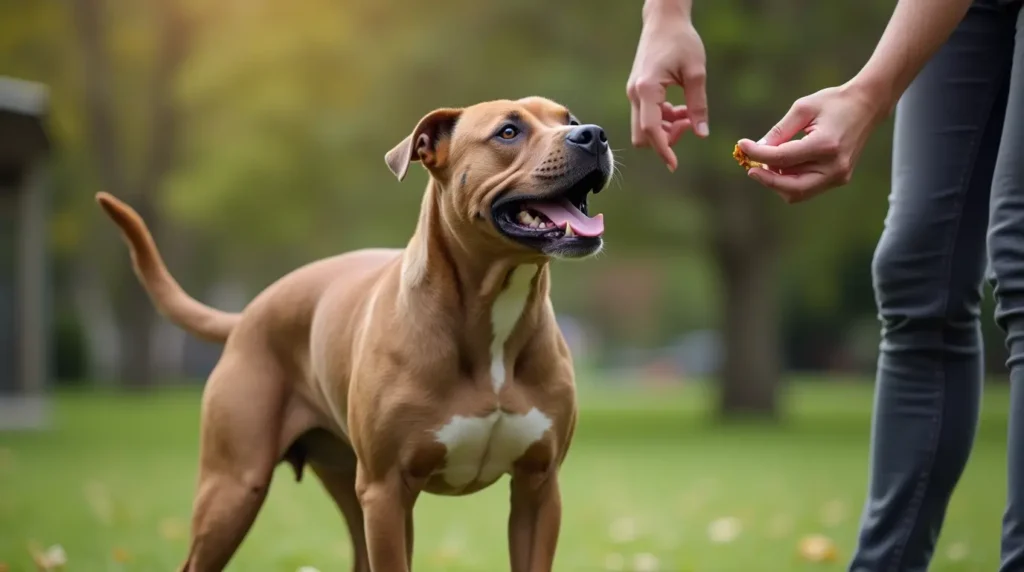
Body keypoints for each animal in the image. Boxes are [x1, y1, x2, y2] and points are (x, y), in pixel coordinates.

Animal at [96, 96, 610, 568]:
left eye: (568, 119)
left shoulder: (538, 488)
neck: (494, 312)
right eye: (508, 131)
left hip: (345, 483)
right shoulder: (386, 491)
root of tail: (249, 312)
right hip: (234, 487)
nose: (594, 134)